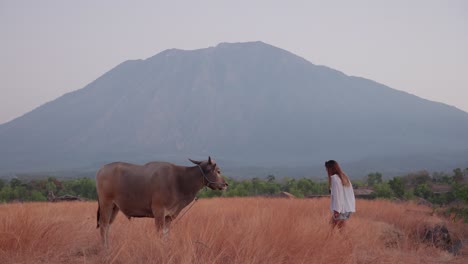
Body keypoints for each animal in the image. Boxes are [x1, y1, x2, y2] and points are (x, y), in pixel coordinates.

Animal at [96, 156, 228, 246]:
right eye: (218, 171)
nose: (225, 184)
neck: (179, 181)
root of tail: (101, 169)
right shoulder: (159, 212)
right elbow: (159, 233)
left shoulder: (169, 216)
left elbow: (165, 234)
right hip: (106, 204)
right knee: (103, 226)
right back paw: (105, 249)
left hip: (115, 207)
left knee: (107, 227)